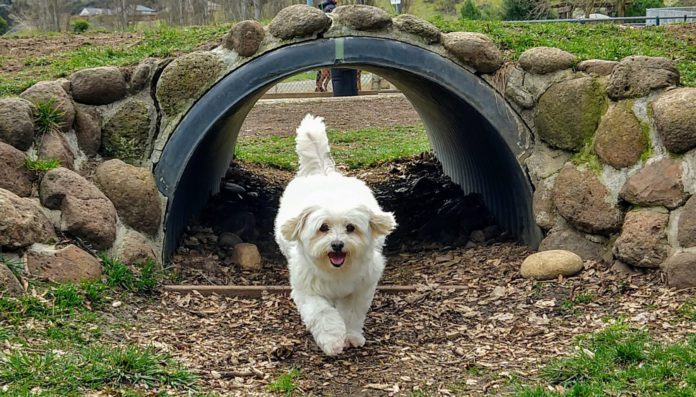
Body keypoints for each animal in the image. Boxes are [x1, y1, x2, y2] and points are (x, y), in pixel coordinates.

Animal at [276, 113, 396, 354]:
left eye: (351, 228)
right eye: (323, 227)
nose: (338, 245)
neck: (336, 271)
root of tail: (324, 173)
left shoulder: (360, 289)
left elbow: (351, 313)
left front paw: (350, 336)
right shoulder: (307, 290)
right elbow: (322, 313)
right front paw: (332, 340)